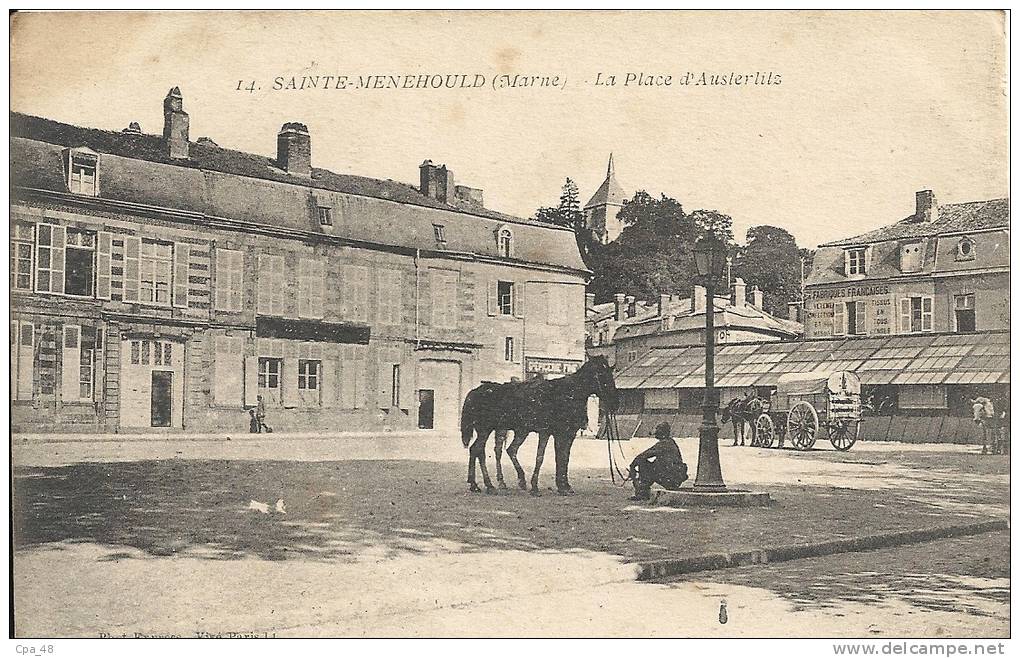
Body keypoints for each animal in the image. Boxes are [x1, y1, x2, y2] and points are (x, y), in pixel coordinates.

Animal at [461, 357, 616, 495]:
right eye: (601, 374)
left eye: (610, 373)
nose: (614, 401)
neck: (567, 394)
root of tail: (476, 391)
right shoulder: (546, 432)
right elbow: (540, 457)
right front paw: (535, 486)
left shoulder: (566, 434)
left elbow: (563, 458)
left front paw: (564, 486)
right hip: (486, 430)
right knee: (479, 450)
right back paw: (488, 485)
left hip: (503, 431)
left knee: (486, 451)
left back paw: (477, 484)